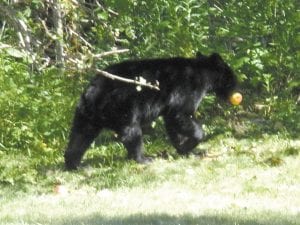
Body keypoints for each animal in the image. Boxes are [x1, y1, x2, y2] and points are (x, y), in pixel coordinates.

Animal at [64, 52, 240, 169]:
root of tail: (92, 91)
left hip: (87, 115)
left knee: (80, 137)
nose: (238, 90)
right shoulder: (187, 89)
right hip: (124, 107)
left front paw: (185, 149)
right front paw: (193, 142)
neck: (201, 73)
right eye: (232, 77)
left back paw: (76, 165)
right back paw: (143, 158)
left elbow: (172, 123)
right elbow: (181, 114)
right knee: (132, 132)